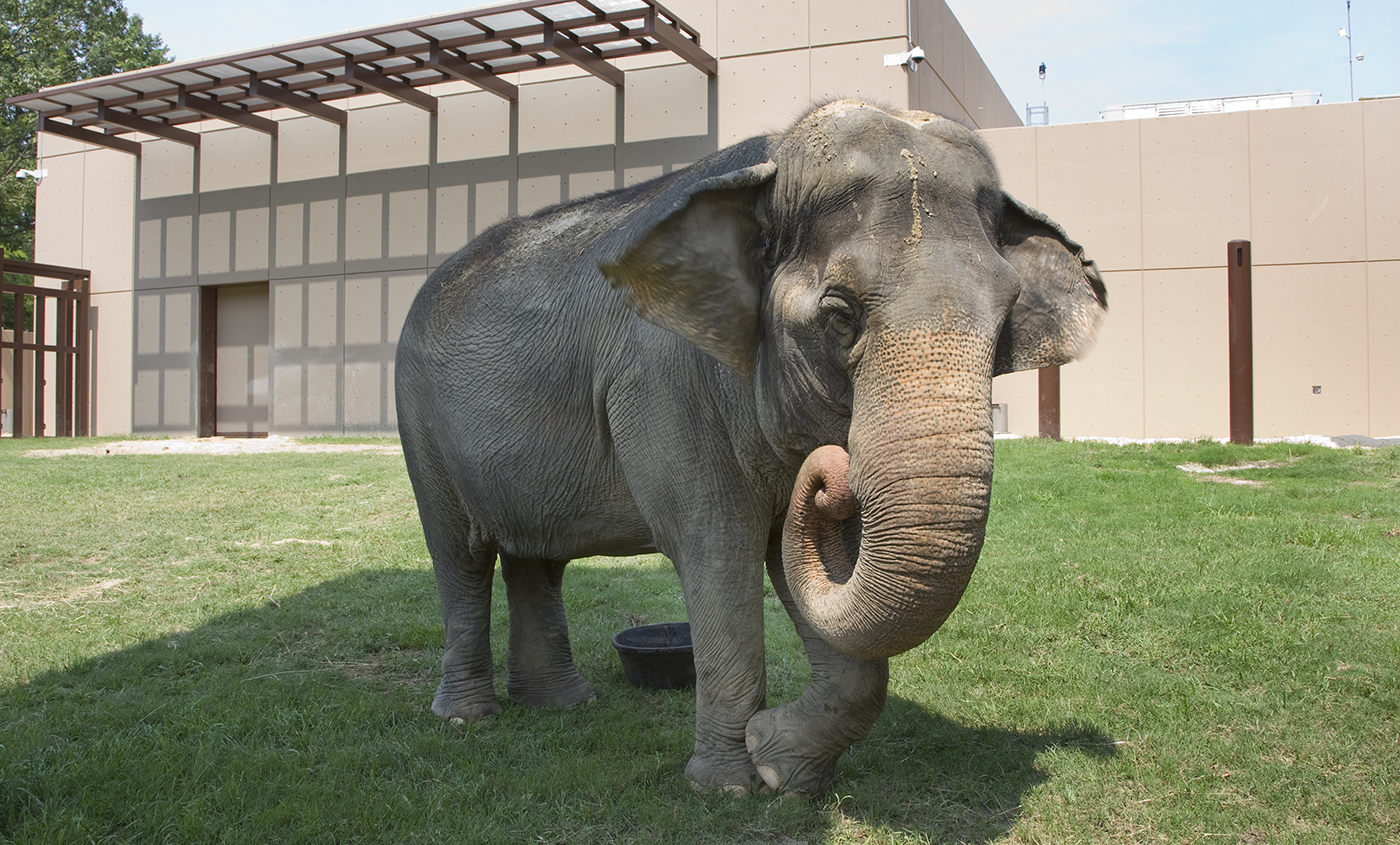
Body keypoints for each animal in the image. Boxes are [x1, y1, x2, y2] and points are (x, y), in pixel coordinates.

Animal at [392, 102, 1103, 794]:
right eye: (839, 315)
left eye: (1006, 320)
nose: (833, 471)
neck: (767, 169)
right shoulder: (667, 387)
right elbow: (719, 549)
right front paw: (727, 788)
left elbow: (815, 565)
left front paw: (782, 769)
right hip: (418, 420)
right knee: (461, 556)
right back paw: (465, 718)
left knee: (536, 560)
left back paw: (563, 704)